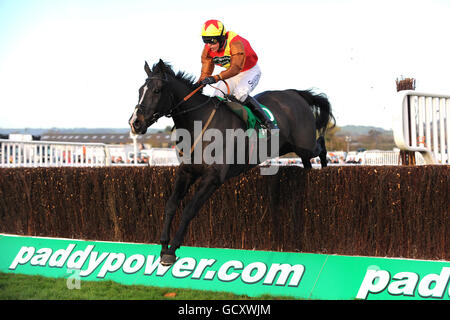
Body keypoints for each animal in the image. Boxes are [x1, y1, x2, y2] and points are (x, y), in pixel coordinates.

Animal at [129, 59, 334, 264]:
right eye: (140, 91)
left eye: (157, 90)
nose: (135, 123)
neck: (199, 124)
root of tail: (294, 93)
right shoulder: (187, 171)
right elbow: (171, 205)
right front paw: (164, 246)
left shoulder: (213, 178)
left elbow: (189, 210)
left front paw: (172, 250)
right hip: (290, 147)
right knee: (307, 161)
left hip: (304, 144)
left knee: (320, 147)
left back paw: (325, 168)